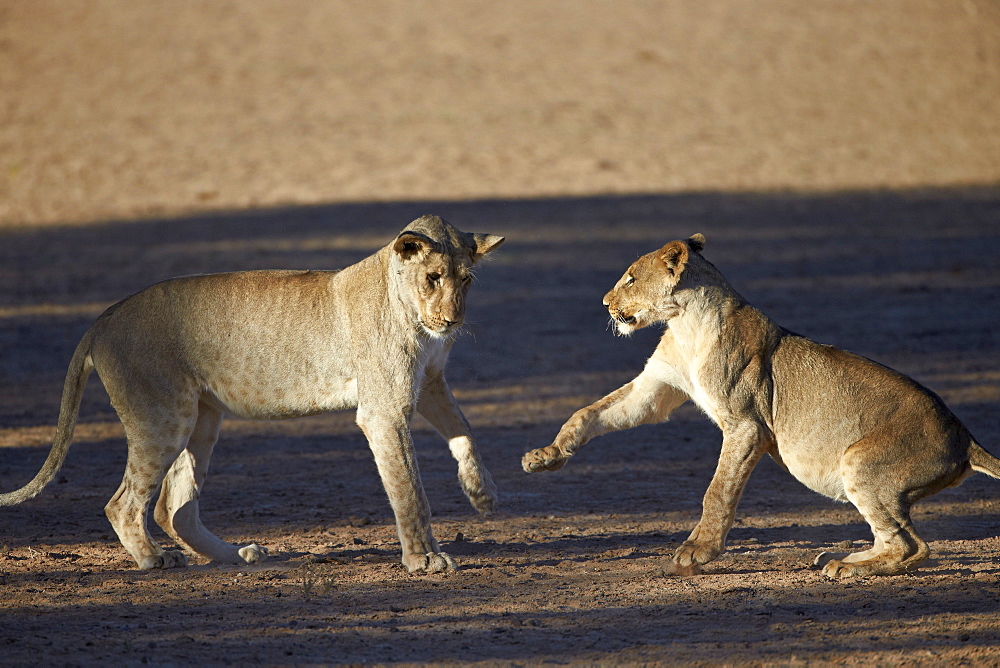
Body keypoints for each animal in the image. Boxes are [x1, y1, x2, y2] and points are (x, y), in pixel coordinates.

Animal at [0, 217, 500, 572]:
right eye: (433, 276)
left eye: (466, 280)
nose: (453, 321)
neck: (411, 310)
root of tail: (104, 317)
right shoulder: (385, 409)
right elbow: (409, 487)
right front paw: (424, 558)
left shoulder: (430, 383)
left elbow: (465, 431)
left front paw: (482, 493)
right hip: (164, 418)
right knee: (125, 503)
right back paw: (154, 558)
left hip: (201, 419)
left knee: (174, 508)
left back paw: (237, 554)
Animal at [524, 232, 1000, 576]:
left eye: (630, 278)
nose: (605, 303)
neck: (685, 325)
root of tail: (965, 436)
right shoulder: (654, 390)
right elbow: (588, 413)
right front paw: (546, 456)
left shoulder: (746, 425)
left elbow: (717, 491)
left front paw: (695, 553)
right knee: (895, 538)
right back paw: (839, 559)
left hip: (860, 461)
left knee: (913, 545)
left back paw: (850, 570)